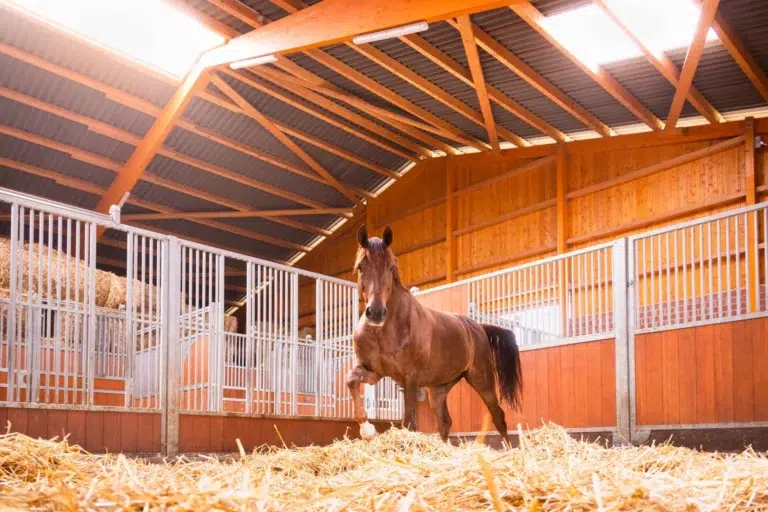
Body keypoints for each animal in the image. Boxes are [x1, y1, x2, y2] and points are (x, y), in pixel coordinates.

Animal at [346, 225, 523, 444]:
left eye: (391, 267)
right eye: (361, 266)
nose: (376, 312)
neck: (385, 332)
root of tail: (479, 327)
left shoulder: (410, 378)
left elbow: (409, 422)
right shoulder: (373, 372)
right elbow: (350, 379)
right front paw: (367, 429)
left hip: (482, 380)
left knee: (498, 415)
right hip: (438, 388)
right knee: (445, 421)